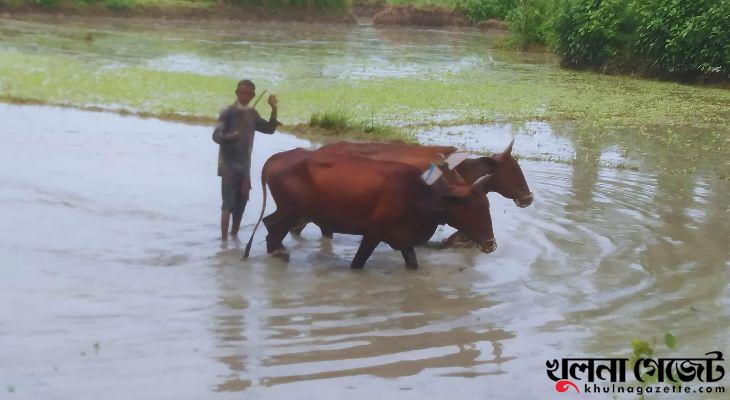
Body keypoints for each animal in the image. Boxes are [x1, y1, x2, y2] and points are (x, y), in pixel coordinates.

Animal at [245, 148, 494, 268]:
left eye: (486, 206)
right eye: (474, 209)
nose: (491, 244)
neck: (422, 194)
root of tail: (277, 158)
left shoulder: (404, 241)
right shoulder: (373, 234)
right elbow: (357, 263)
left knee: (270, 225)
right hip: (291, 211)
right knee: (273, 227)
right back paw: (278, 254)